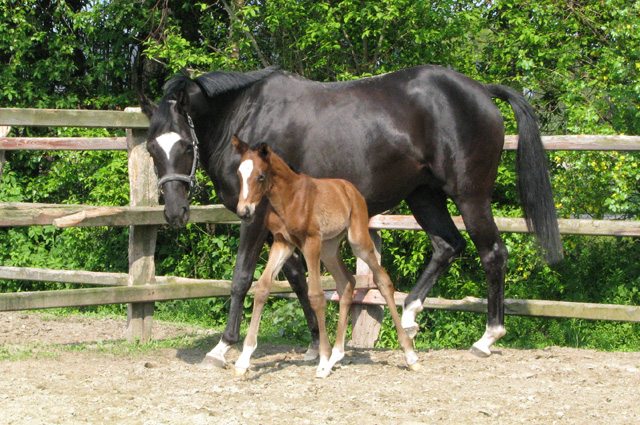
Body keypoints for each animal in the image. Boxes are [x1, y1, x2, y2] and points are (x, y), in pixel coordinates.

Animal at [231, 136, 420, 378]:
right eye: (239, 174)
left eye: (261, 176)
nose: (244, 212)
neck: (288, 198)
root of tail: (350, 189)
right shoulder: (283, 243)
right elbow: (262, 288)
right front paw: (243, 360)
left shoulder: (310, 242)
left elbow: (316, 296)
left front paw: (322, 359)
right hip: (329, 247)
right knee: (346, 283)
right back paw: (336, 355)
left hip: (357, 240)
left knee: (382, 280)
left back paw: (410, 355)